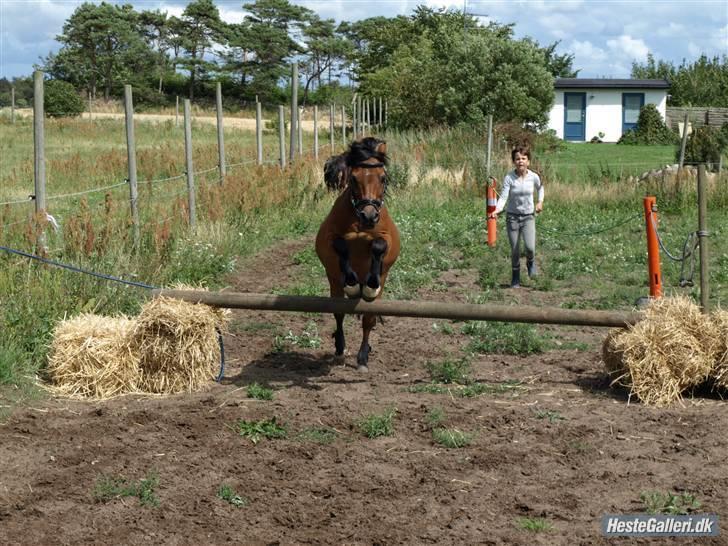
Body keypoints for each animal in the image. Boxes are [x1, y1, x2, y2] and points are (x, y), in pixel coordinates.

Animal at [314, 136, 400, 370]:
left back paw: (363, 356)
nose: (369, 215)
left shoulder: (387, 238)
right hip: (334, 282)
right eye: (353, 178)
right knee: (339, 313)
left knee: (368, 318)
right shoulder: (329, 237)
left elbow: (379, 245)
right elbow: (341, 245)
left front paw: (370, 283)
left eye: (382, 178)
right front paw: (351, 283)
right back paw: (340, 349)